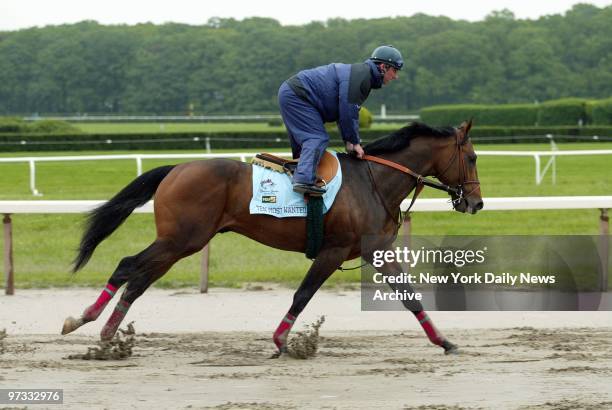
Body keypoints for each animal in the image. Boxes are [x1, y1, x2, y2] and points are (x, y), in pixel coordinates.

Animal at [62, 119, 482, 356]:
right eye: (473, 158)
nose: (476, 202)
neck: (373, 182)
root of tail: (176, 168)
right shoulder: (332, 250)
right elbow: (303, 294)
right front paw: (282, 341)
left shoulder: (376, 250)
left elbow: (411, 299)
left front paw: (444, 341)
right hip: (182, 239)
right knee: (127, 267)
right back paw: (85, 319)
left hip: (179, 244)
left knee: (139, 280)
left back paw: (109, 333)